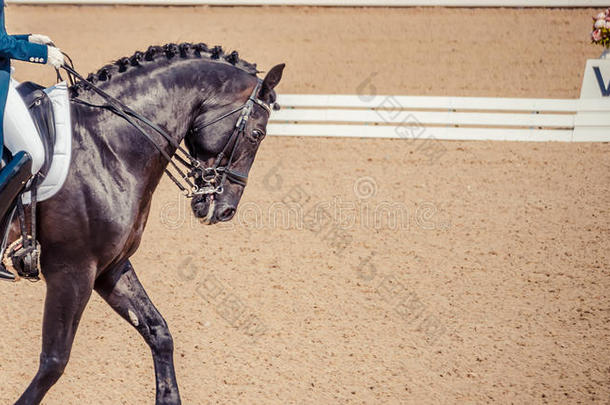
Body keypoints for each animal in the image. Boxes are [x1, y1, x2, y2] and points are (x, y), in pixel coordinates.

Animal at [7, 41, 282, 404]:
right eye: (257, 133)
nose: (225, 210)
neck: (105, 145)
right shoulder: (72, 271)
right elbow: (54, 362)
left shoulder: (110, 267)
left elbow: (158, 331)